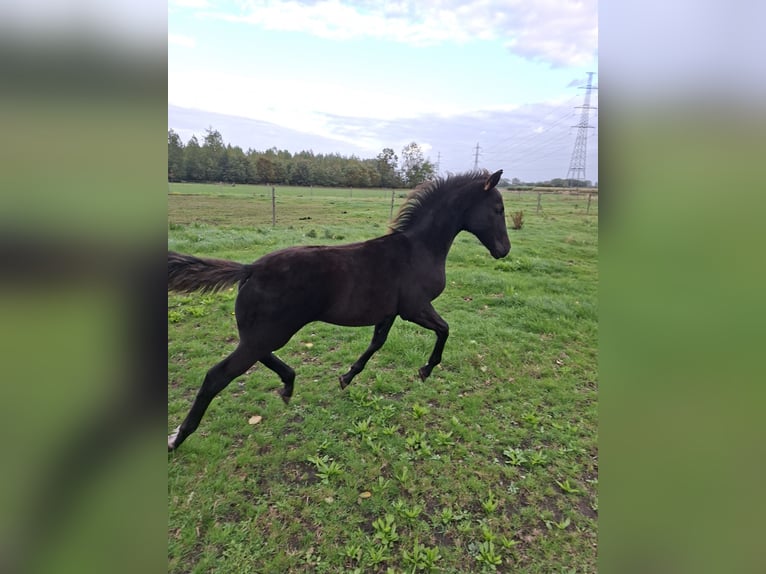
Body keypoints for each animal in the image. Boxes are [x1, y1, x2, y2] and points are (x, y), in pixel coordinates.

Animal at [168, 169, 510, 451]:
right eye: (498, 209)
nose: (504, 250)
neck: (419, 250)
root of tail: (250, 269)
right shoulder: (415, 308)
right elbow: (444, 329)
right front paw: (425, 370)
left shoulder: (389, 312)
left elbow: (376, 343)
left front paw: (346, 377)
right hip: (268, 333)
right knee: (217, 375)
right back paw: (178, 438)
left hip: (263, 334)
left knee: (258, 357)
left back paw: (288, 385)